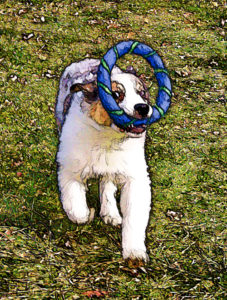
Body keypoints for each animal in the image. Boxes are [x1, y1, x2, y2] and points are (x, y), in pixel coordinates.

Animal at [55, 58, 153, 260]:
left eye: (142, 94)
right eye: (116, 94)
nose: (143, 107)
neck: (108, 138)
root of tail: (87, 60)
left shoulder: (135, 176)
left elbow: (134, 216)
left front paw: (135, 253)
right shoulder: (69, 168)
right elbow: (76, 207)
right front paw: (85, 214)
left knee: (107, 182)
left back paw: (110, 213)